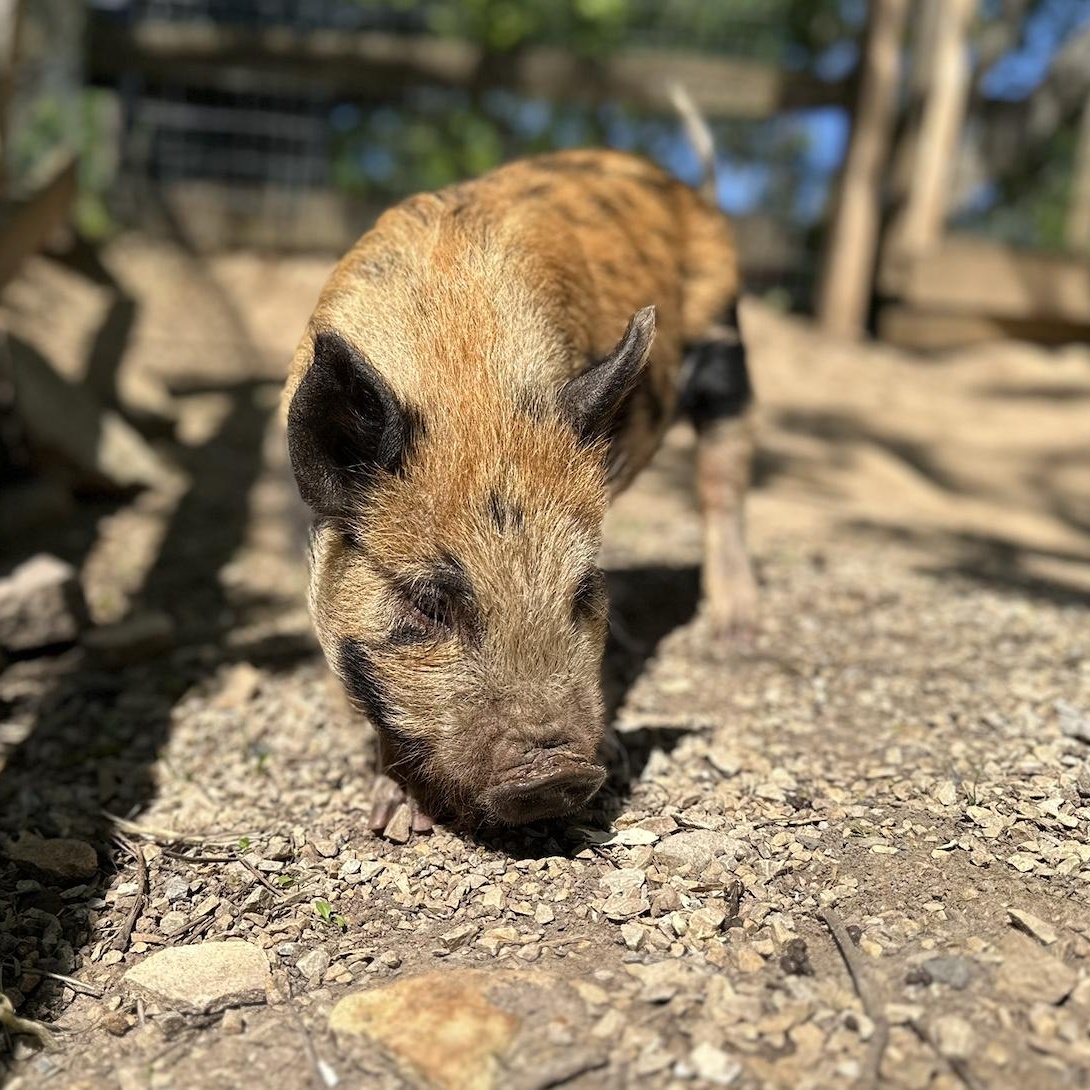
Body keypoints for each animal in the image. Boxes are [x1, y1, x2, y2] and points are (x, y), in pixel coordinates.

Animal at [283, 97, 756, 834]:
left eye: (583, 589)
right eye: (426, 603)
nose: (557, 774)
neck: (464, 380)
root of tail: (693, 191)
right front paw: (395, 823)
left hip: (726, 343)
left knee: (722, 482)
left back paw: (735, 637)